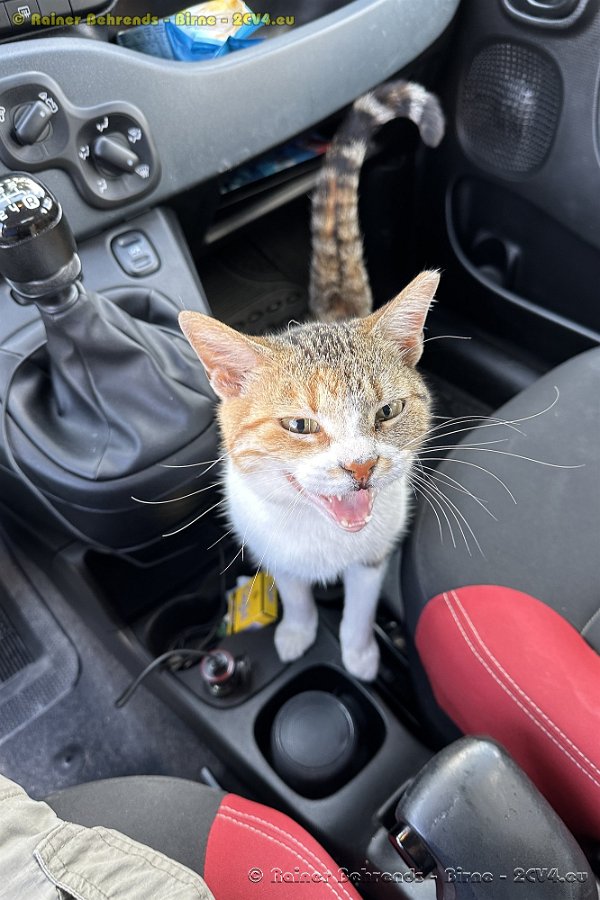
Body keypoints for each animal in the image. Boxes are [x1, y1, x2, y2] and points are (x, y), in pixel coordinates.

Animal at [179, 80, 444, 681]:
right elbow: (296, 594)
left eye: (388, 412)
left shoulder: (374, 554)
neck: (325, 537)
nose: (361, 467)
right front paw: (297, 632)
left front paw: (360, 653)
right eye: (300, 425)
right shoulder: (274, 549)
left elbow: (361, 606)